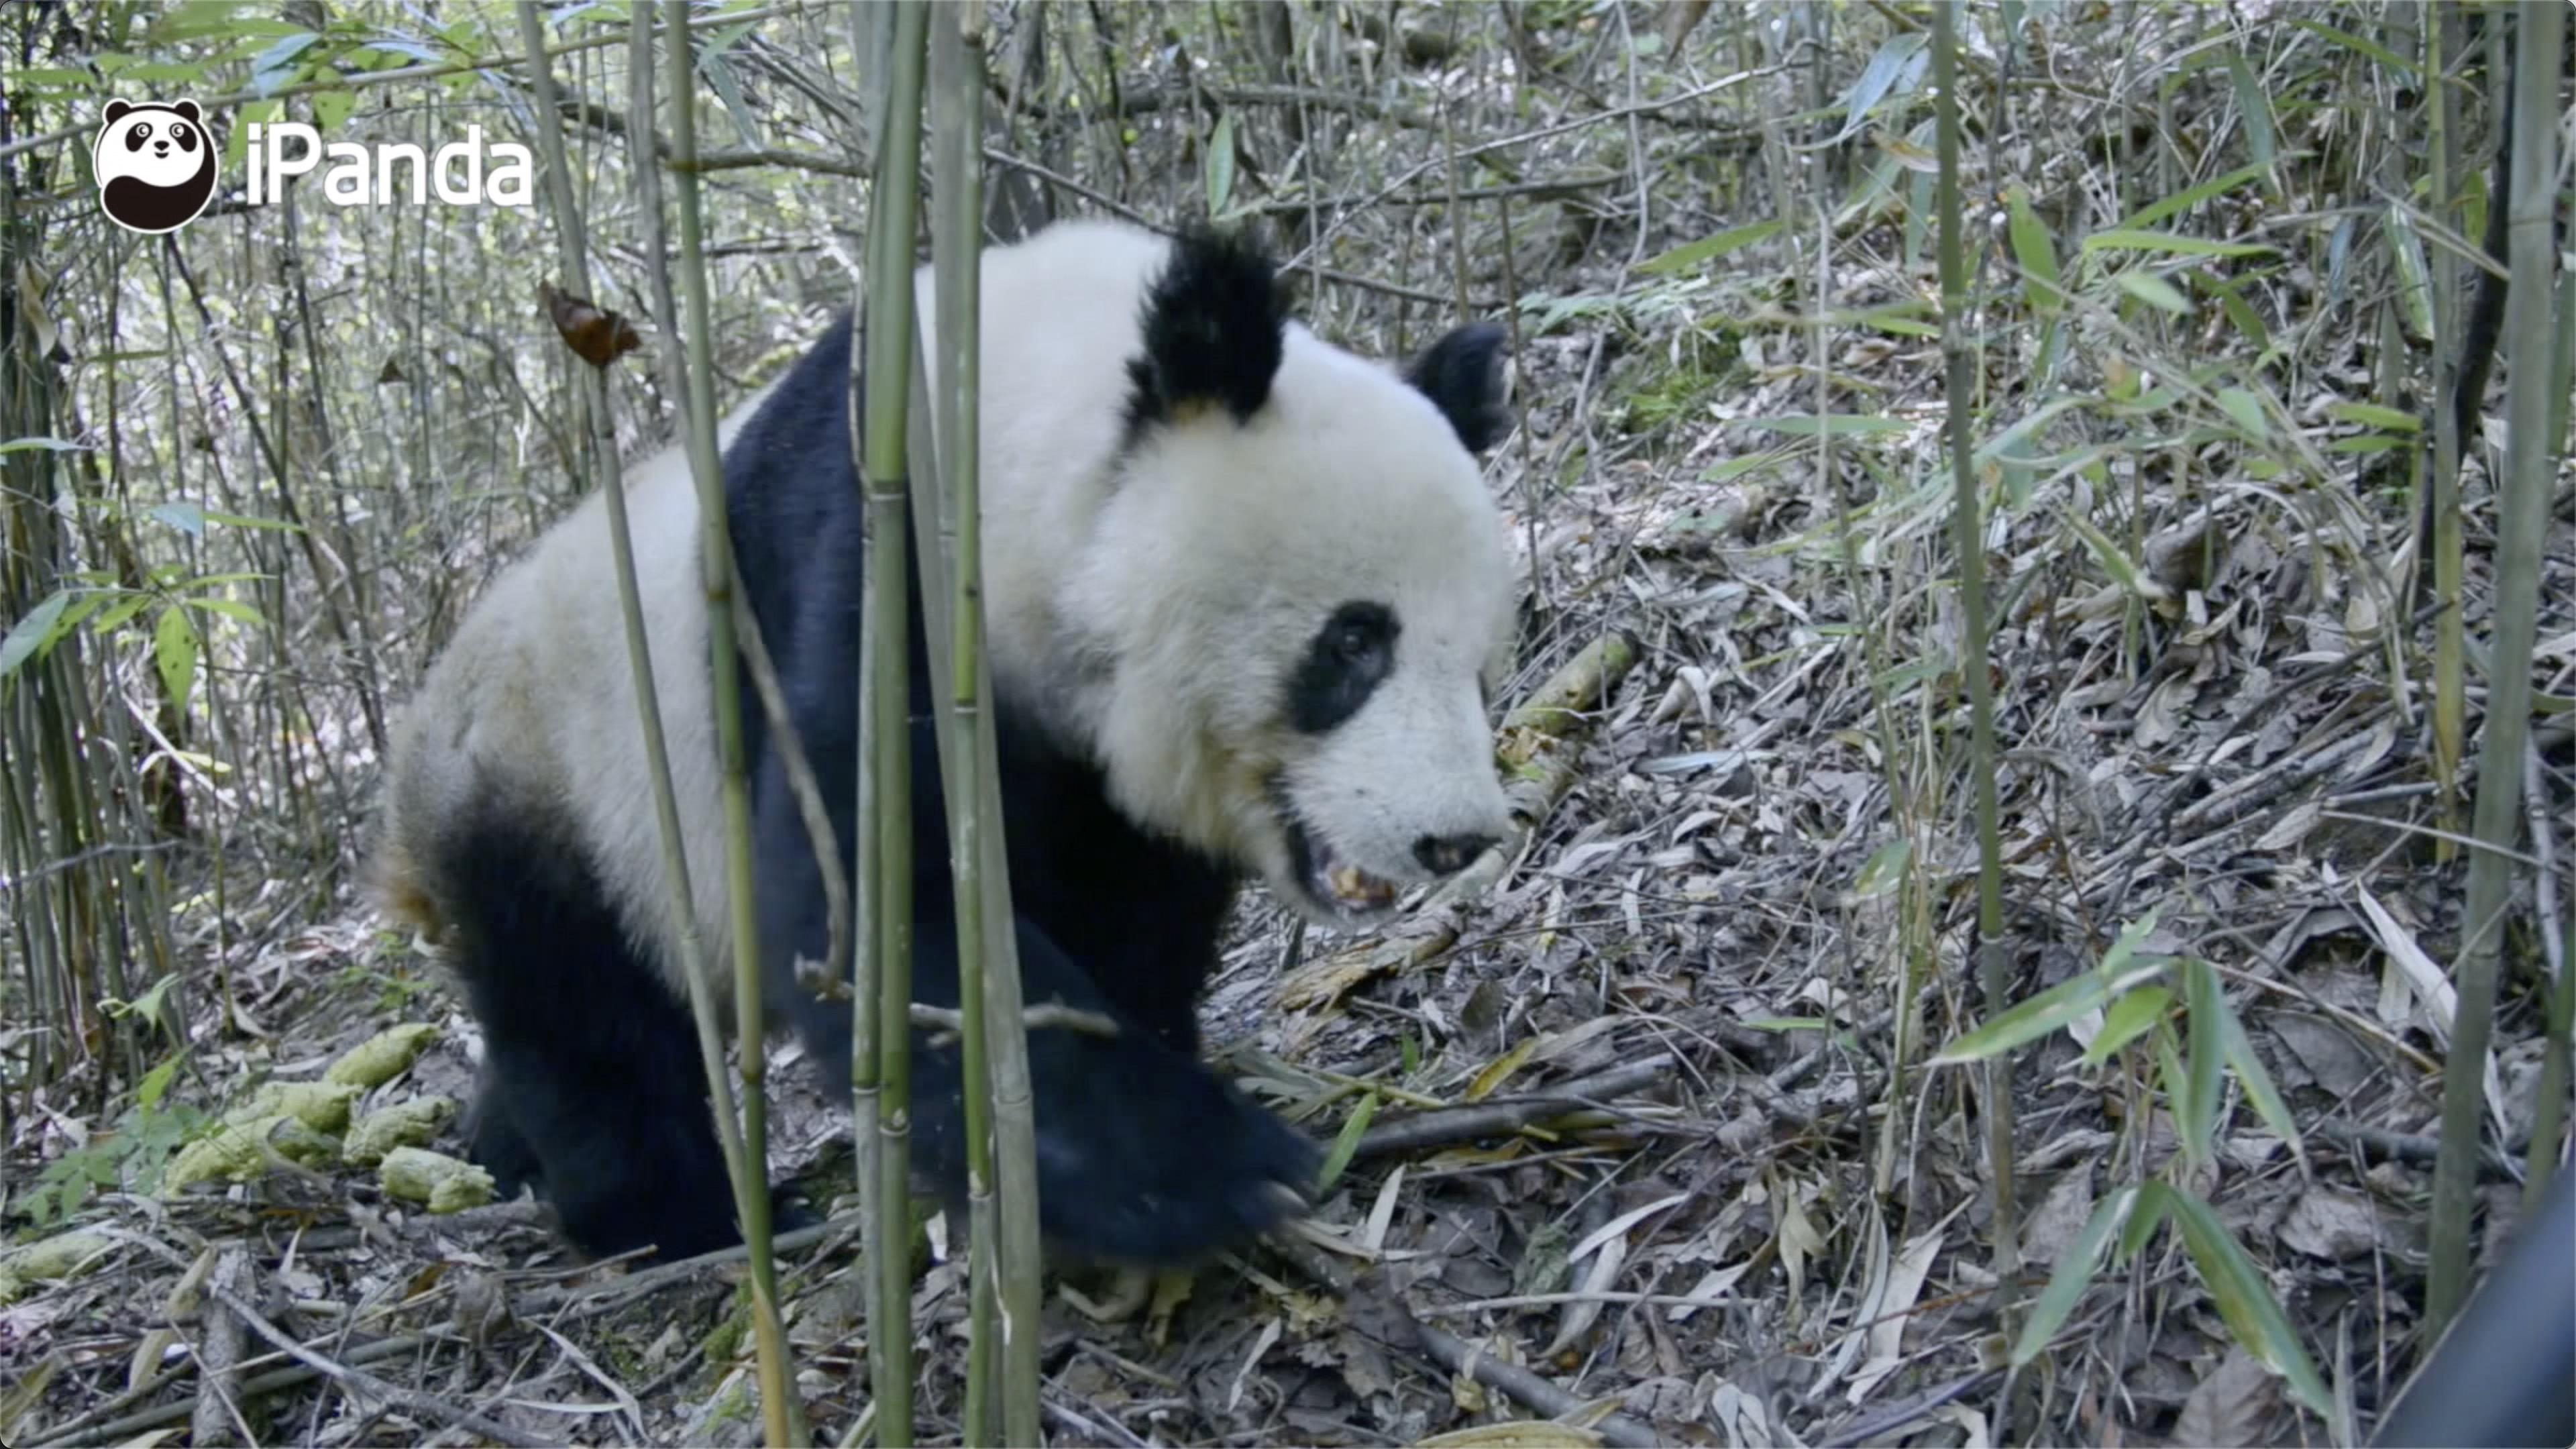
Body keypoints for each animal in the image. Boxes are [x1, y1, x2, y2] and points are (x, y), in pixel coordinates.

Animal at [373, 216, 1514, 1263]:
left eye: (1476, 659)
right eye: (1356, 641)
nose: (1455, 840)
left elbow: (1133, 902)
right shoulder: (867, 572)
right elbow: (890, 911)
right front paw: (1208, 1173)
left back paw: (499, 1155)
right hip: (556, 791)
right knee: (588, 1019)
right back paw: (673, 1220)